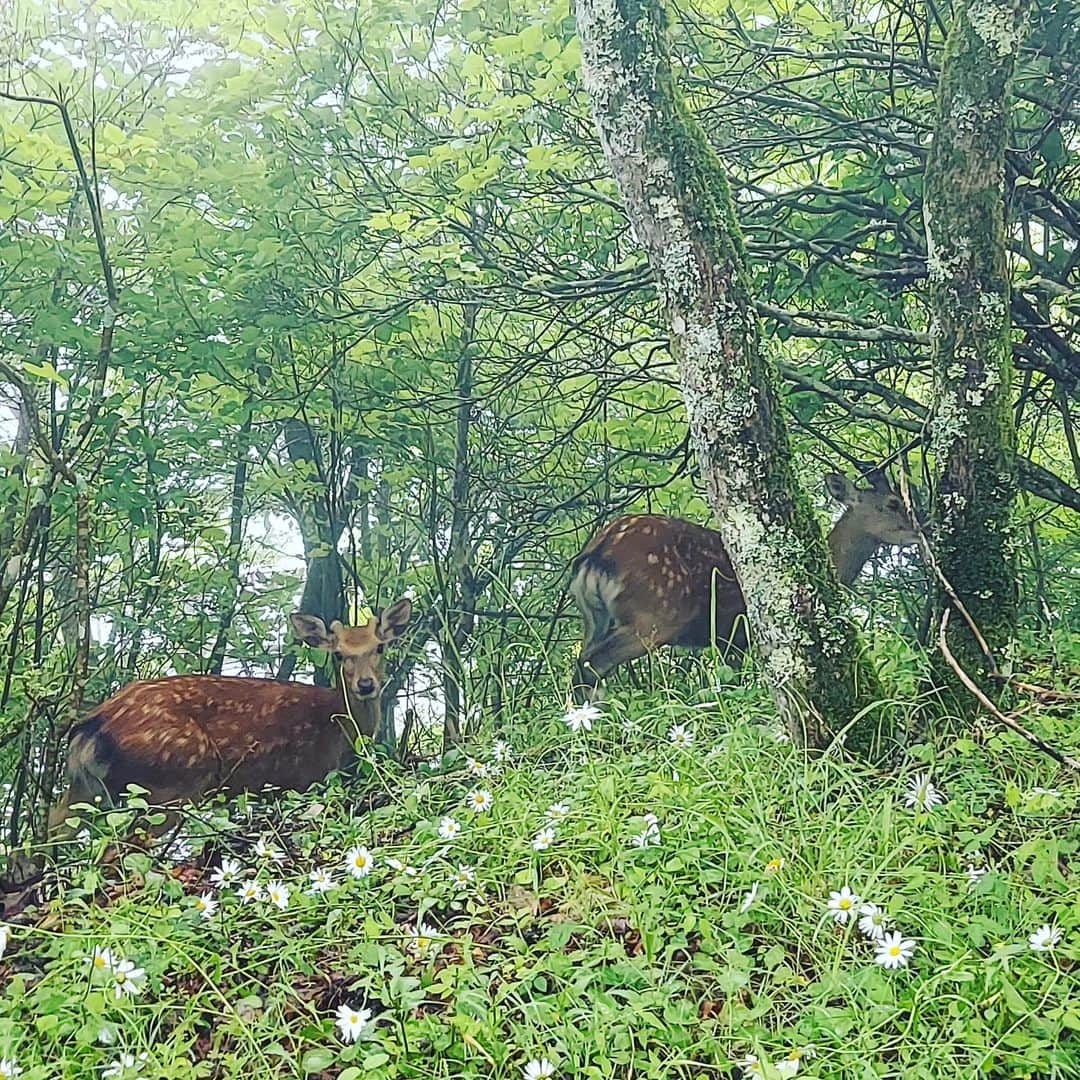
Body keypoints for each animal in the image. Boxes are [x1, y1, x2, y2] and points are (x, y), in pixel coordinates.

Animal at [46, 600, 410, 825]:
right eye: (338, 654)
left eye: (380, 647)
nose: (366, 684)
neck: (339, 724)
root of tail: (94, 725)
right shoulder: (308, 777)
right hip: (174, 782)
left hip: (85, 789)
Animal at [570, 475, 915, 699]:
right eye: (892, 503)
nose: (919, 528)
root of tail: (599, 551)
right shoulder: (735, 630)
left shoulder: (725, 636)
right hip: (656, 614)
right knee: (593, 663)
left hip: (594, 618)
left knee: (582, 664)